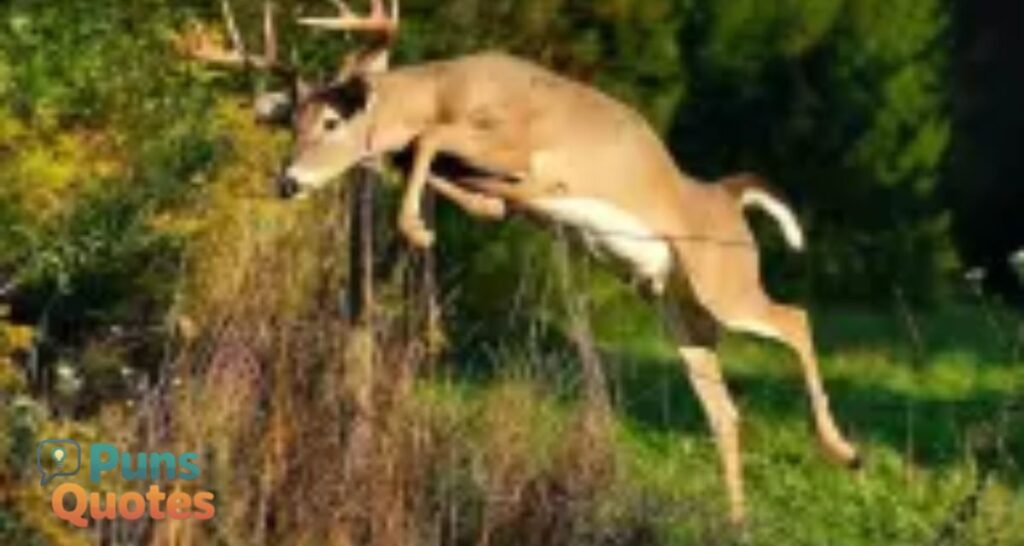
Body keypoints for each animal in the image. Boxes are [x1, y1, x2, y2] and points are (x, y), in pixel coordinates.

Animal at [179, 0, 861, 524]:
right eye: (289, 123)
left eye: (329, 120)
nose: (288, 181)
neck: (445, 90)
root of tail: (728, 196)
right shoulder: (501, 190)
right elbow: (455, 181)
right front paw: (422, 220)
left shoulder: (517, 149)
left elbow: (430, 142)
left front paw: (415, 226)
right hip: (681, 309)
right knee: (725, 410)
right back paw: (738, 518)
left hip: (726, 283)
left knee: (796, 318)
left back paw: (844, 450)